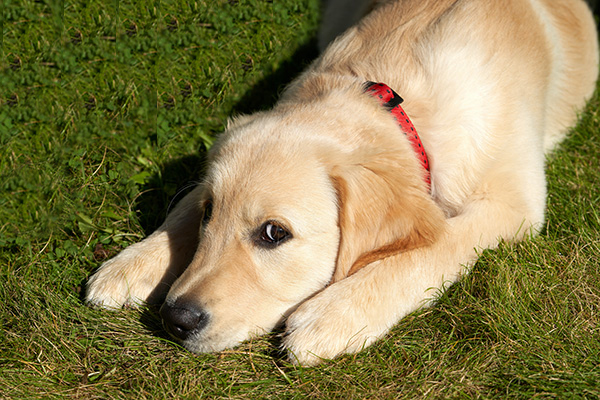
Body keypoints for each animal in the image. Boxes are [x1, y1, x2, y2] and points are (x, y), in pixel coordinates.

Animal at [86, 0, 596, 364]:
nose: (175, 318)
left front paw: (336, 314)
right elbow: (183, 203)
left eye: (274, 233)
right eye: (210, 212)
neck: (395, 96)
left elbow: (439, 242)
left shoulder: (514, 203)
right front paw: (132, 264)